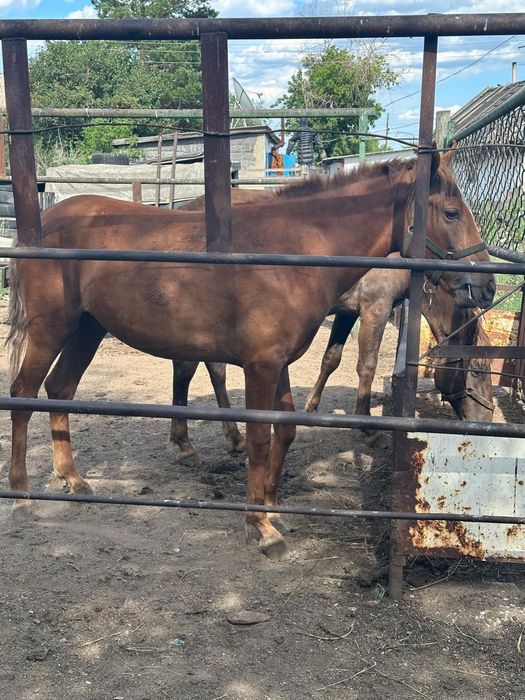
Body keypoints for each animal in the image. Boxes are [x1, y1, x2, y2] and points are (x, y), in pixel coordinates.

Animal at [168, 255, 493, 465]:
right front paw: (367, 426)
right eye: (478, 370)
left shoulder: (348, 312)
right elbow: (367, 365)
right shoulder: (375, 309)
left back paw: (230, 436)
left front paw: (312, 407)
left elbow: (331, 358)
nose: (486, 420)